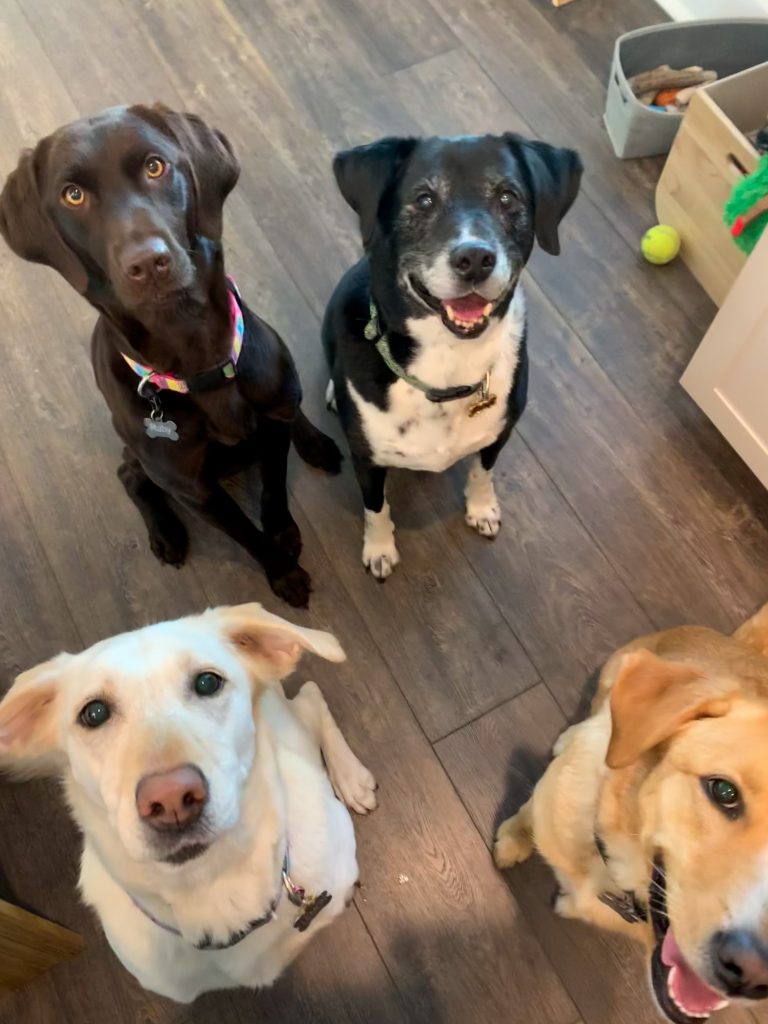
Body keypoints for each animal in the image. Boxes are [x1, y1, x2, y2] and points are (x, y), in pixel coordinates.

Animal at [0, 105, 342, 606]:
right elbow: (246, 535)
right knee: (130, 474)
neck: (198, 357)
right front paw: (283, 572)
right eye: (73, 195)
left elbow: (275, 488)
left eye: (155, 166)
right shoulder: (195, 491)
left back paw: (315, 441)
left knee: (290, 408)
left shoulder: (271, 431)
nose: (147, 262)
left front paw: (283, 532)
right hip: (141, 458)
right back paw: (165, 533)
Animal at [0, 598, 376, 999]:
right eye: (94, 713)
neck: (216, 887)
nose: (171, 799)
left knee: (311, 697)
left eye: (208, 682)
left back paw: (352, 778)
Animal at [323, 134, 581, 577]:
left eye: (508, 196)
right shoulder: (366, 460)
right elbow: (376, 507)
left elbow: (482, 471)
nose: (475, 258)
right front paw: (379, 549)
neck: (447, 363)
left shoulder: (500, 432)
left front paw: (482, 509)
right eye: (424, 199)